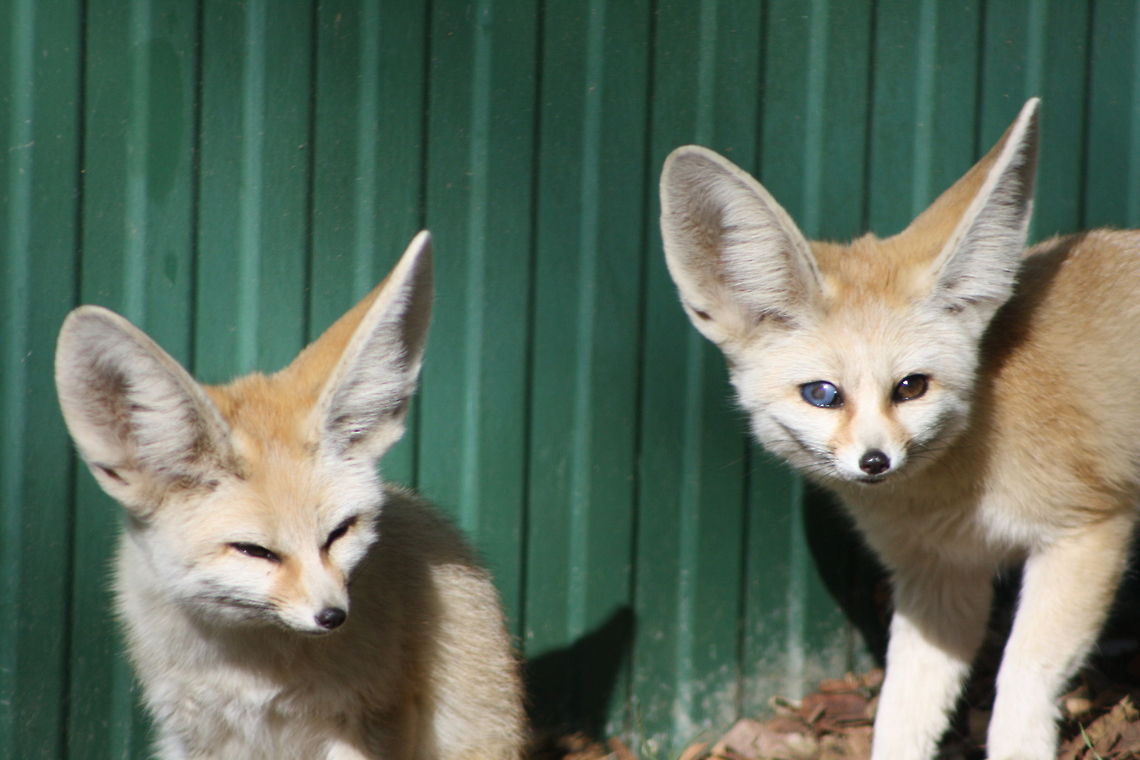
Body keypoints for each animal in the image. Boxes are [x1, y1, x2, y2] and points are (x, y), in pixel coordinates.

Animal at [54, 231, 526, 759]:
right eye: (255, 551)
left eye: (340, 533)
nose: (333, 616)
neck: (251, 669)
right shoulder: (192, 729)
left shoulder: (370, 717)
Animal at [659, 98, 1140, 759]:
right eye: (822, 394)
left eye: (911, 387)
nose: (874, 462)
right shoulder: (940, 577)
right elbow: (902, 712)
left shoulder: (1087, 532)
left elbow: (1021, 682)